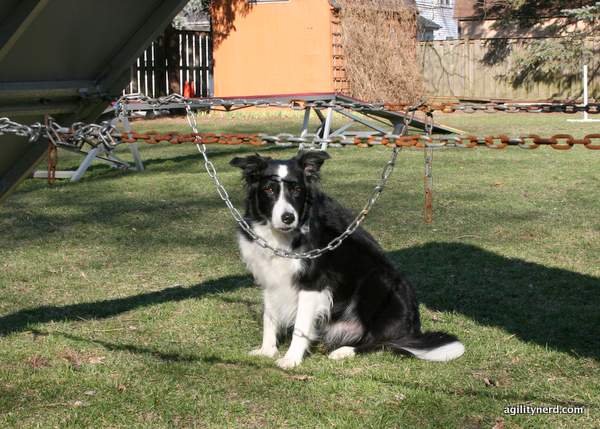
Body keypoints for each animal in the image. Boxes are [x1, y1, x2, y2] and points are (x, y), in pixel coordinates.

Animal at [230, 150, 464, 368]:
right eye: (268, 189)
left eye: (296, 189)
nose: (288, 218)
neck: (283, 236)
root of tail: (413, 327)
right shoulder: (269, 276)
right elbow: (269, 317)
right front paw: (266, 350)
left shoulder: (313, 282)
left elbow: (300, 326)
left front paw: (291, 359)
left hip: (378, 281)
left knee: (381, 341)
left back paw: (345, 351)